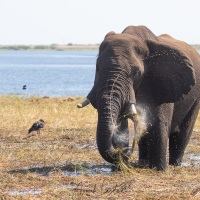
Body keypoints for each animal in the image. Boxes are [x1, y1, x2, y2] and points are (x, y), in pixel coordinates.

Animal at [77, 25, 200, 170]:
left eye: (136, 73)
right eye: (97, 68)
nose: (126, 151)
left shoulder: (162, 84)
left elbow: (159, 124)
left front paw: (159, 170)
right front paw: (120, 166)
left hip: (196, 98)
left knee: (183, 133)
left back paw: (174, 165)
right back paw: (143, 163)